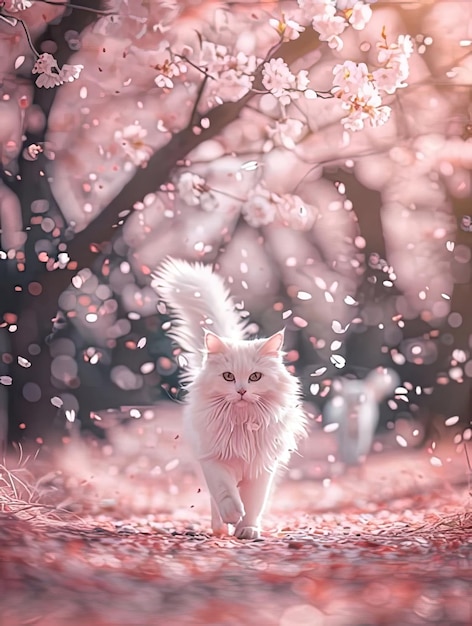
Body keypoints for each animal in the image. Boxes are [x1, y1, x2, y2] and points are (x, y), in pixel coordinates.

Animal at [151, 258, 306, 536]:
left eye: (255, 377)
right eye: (228, 376)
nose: (242, 391)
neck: (242, 425)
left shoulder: (261, 468)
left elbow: (253, 503)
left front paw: (247, 529)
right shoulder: (214, 460)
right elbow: (225, 492)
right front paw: (232, 516)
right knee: (214, 500)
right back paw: (220, 528)